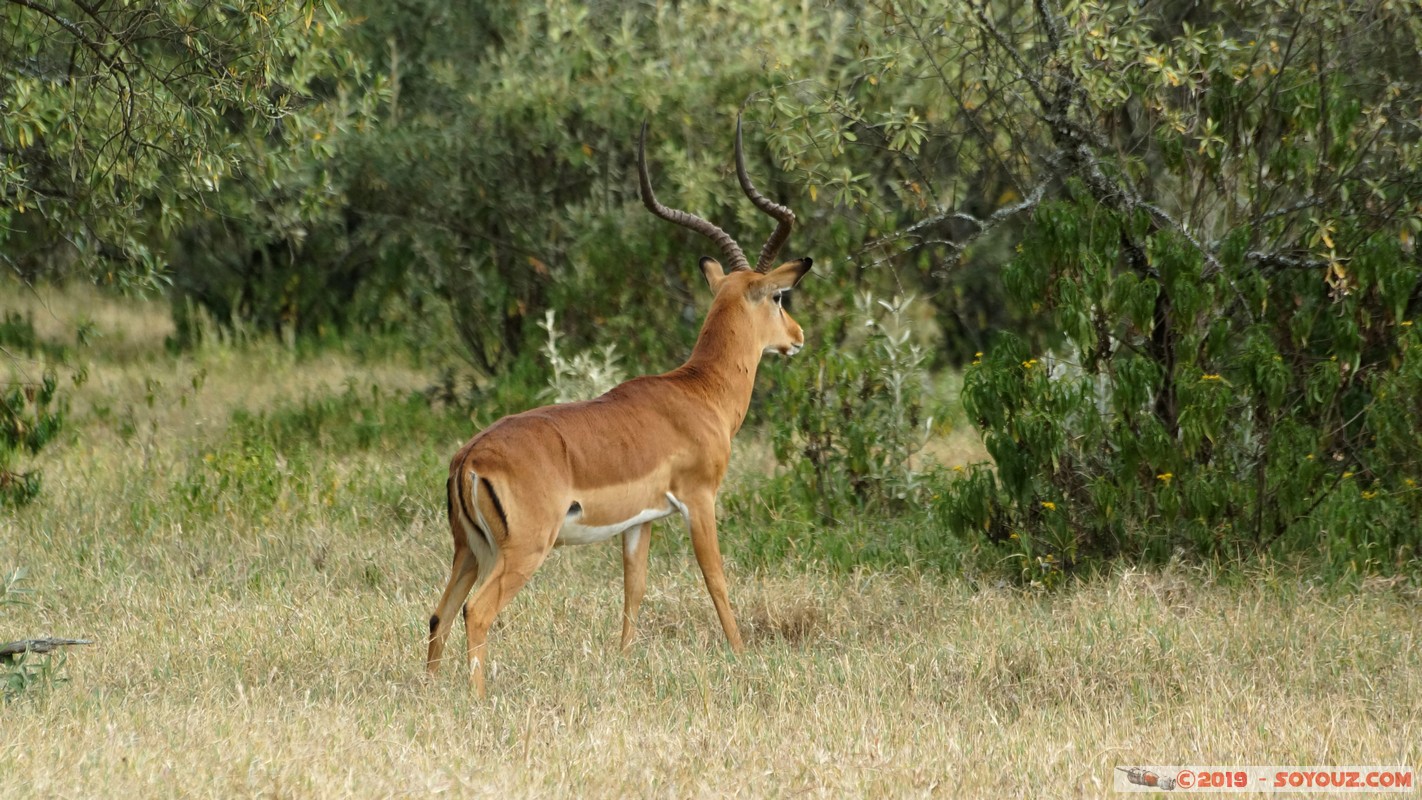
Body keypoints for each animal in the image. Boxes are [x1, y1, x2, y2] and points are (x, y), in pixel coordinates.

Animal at [423, 117, 813, 696]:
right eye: (780, 297)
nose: (798, 337)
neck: (699, 393)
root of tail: (470, 457)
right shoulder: (699, 500)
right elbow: (716, 580)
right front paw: (743, 656)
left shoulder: (639, 522)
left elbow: (634, 590)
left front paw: (625, 661)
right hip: (523, 550)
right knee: (477, 611)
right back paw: (478, 698)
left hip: (470, 549)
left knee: (440, 612)